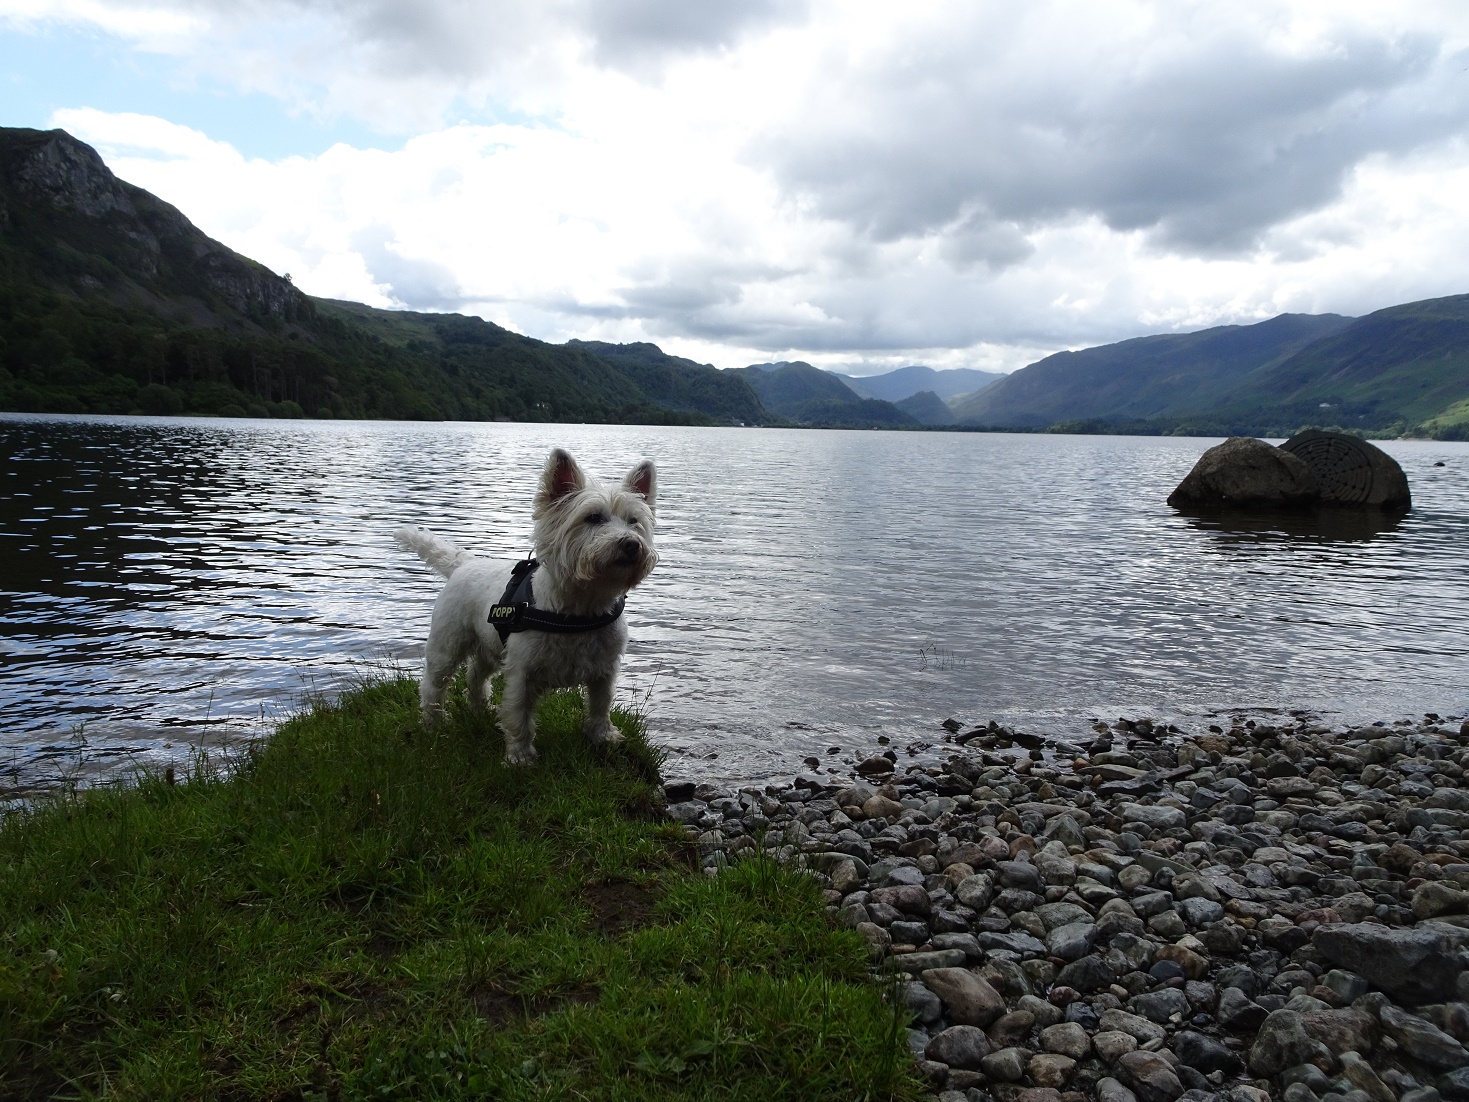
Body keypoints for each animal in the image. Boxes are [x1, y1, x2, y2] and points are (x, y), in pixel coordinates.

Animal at [396, 449, 661, 769]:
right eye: (593, 518)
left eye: (634, 521)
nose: (632, 545)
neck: (581, 608)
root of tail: (464, 563)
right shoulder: (522, 670)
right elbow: (519, 715)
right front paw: (520, 758)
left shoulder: (605, 669)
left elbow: (600, 704)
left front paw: (603, 737)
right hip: (448, 643)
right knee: (434, 684)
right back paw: (433, 724)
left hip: (490, 644)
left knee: (476, 675)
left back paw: (480, 709)